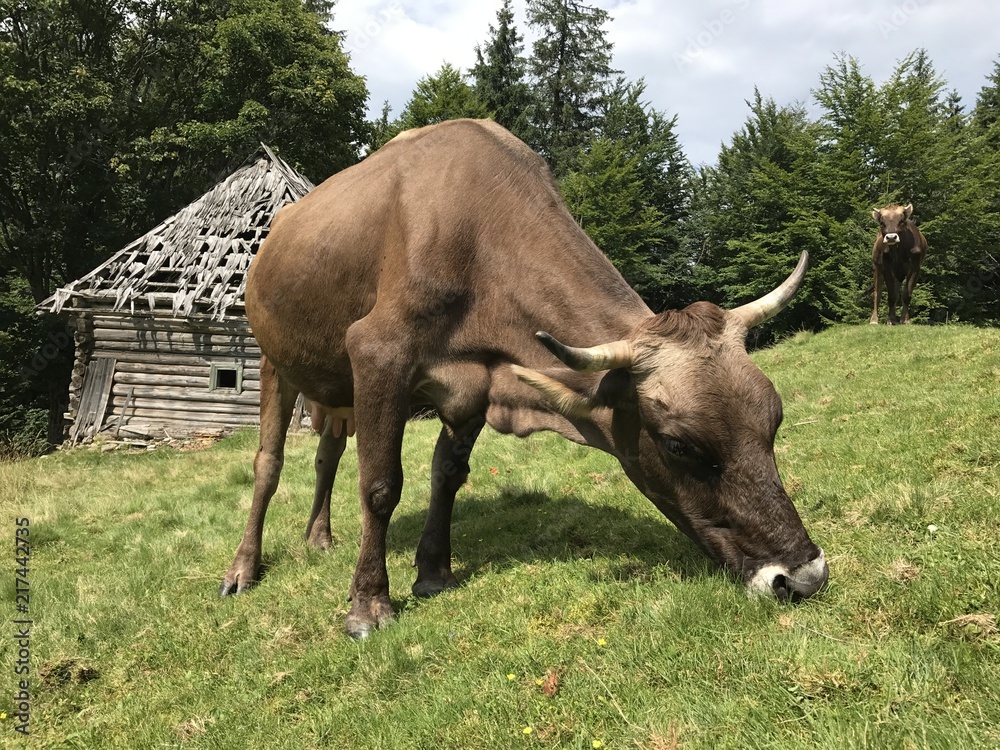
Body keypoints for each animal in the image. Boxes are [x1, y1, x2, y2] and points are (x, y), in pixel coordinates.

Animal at [220, 119, 828, 639]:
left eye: (773, 420)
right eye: (679, 444)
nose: (803, 577)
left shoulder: (475, 384)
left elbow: (447, 475)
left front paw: (434, 572)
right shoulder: (377, 354)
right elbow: (380, 485)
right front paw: (369, 604)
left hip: (334, 392)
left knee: (326, 456)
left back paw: (319, 538)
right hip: (275, 360)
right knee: (269, 464)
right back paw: (243, 569)